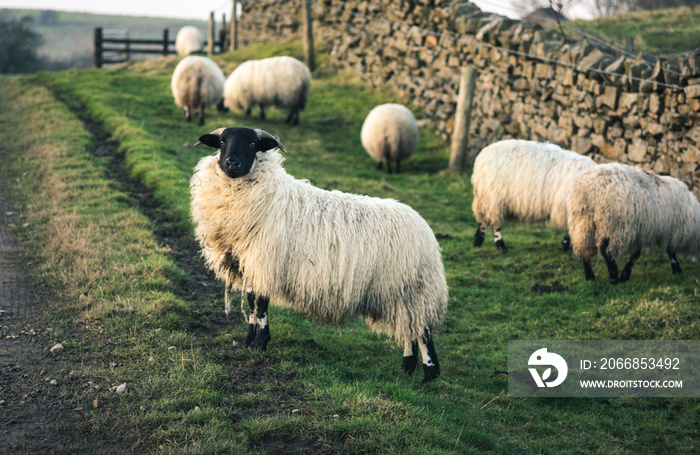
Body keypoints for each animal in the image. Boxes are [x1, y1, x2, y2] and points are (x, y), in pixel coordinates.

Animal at [189, 126, 446, 382]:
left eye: (253, 144)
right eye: (222, 142)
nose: (232, 163)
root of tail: (424, 228)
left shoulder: (265, 263)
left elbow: (260, 306)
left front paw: (259, 344)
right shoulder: (249, 265)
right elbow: (252, 304)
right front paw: (249, 339)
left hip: (414, 290)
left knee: (423, 332)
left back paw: (429, 374)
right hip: (400, 294)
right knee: (409, 329)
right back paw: (408, 367)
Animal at [568, 164, 700, 284]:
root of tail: (589, 189)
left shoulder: (642, 232)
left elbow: (636, 254)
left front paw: (625, 275)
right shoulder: (670, 232)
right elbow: (671, 253)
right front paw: (677, 271)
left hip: (583, 224)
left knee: (583, 250)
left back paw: (590, 277)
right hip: (613, 225)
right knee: (606, 251)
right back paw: (613, 276)